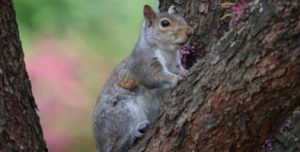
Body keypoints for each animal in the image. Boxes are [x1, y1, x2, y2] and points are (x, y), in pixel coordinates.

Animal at [92, 4, 192, 152]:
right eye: (165, 23)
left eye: (181, 18)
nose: (189, 32)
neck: (167, 50)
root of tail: (101, 145)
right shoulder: (145, 63)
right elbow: (155, 77)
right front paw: (177, 78)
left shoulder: (174, 61)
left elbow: (178, 67)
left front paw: (185, 71)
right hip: (123, 114)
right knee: (117, 146)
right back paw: (136, 131)